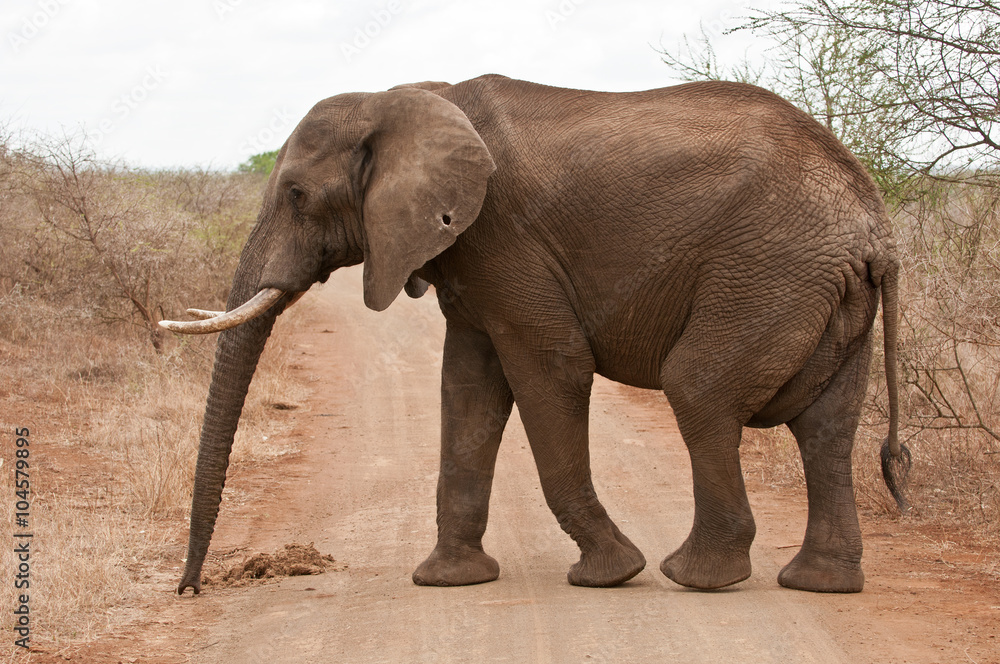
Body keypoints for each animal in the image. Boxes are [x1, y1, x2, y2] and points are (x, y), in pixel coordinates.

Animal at [162, 74, 911, 596]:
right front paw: (447, 580)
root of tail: (874, 224)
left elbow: (552, 367)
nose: (190, 589)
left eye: (295, 195)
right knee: (826, 426)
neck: (407, 97)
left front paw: (611, 573)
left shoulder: (502, 236)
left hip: (770, 271)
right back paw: (820, 584)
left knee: (698, 388)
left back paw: (697, 577)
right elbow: (467, 388)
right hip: (821, 289)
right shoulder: (468, 255)